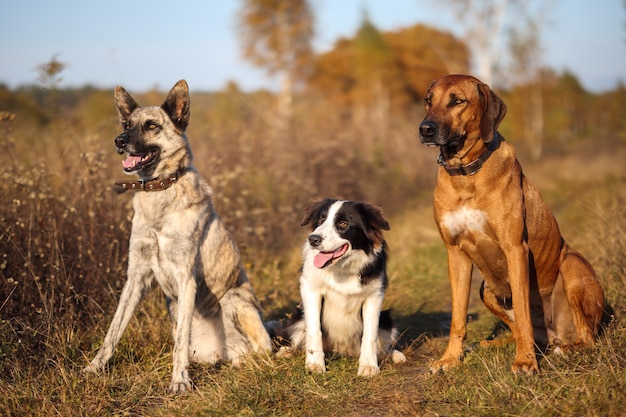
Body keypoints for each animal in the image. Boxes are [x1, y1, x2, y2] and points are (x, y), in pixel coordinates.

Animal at [83, 79, 270, 392]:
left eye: (151, 125)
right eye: (127, 124)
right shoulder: (136, 277)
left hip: (234, 299)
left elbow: (179, 342)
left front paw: (179, 380)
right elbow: (113, 330)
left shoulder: (186, 279)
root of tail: (223, 353)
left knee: (268, 351)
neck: (160, 191)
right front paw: (95, 367)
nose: (119, 141)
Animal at [416, 75, 604, 374]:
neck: (466, 173)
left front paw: (525, 361)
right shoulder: (455, 253)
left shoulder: (515, 248)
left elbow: (524, 316)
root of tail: (555, 335)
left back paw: (565, 349)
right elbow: (458, 317)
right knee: (521, 331)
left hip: (572, 267)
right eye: (428, 100)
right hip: (486, 289)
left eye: (457, 101)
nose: (425, 129)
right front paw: (450, 359)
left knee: (586, 336)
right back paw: (496, 344)